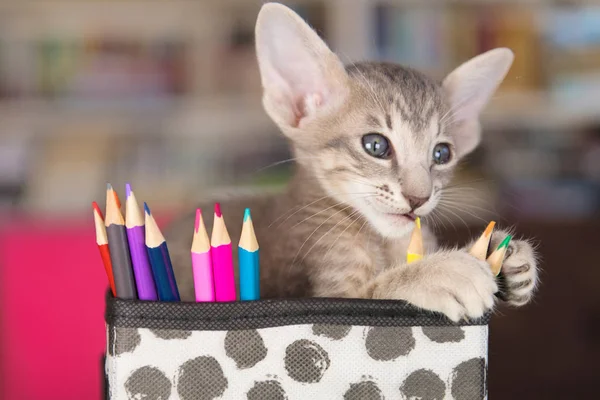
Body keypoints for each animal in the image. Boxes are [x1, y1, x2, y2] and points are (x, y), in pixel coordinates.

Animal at [164, 3, 540, 322]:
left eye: (442, 154)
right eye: (376, 145)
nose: (418, 198)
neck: (383, 240)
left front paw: (508, 255)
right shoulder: (329, 296)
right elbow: (378, 291)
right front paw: (443, 271)